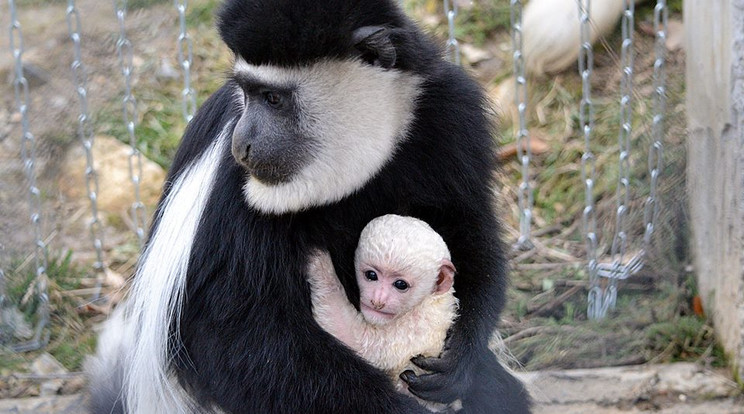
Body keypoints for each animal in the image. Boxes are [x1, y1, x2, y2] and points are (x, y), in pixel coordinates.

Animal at [306, 213, 460, 410]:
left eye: (400, 284)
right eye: (371, 275)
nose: (377, 301)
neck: (429, 299)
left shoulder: (416, 325)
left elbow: (363, 343)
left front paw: (320, 264)